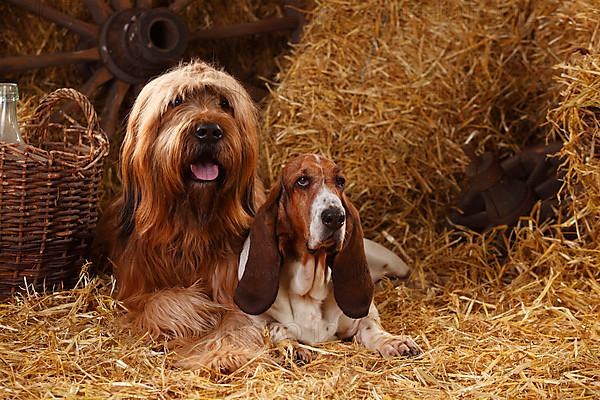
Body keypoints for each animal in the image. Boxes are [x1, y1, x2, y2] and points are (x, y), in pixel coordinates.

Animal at [232, 155, 420, 358]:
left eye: (340, 181)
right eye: (302, 181)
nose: (336, 217)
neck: (309, 289)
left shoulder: (363, 316)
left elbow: (371, 325)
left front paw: (394, 342)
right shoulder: (257, 322)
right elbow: (277, 328)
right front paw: (294, 347)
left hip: (393, 263)